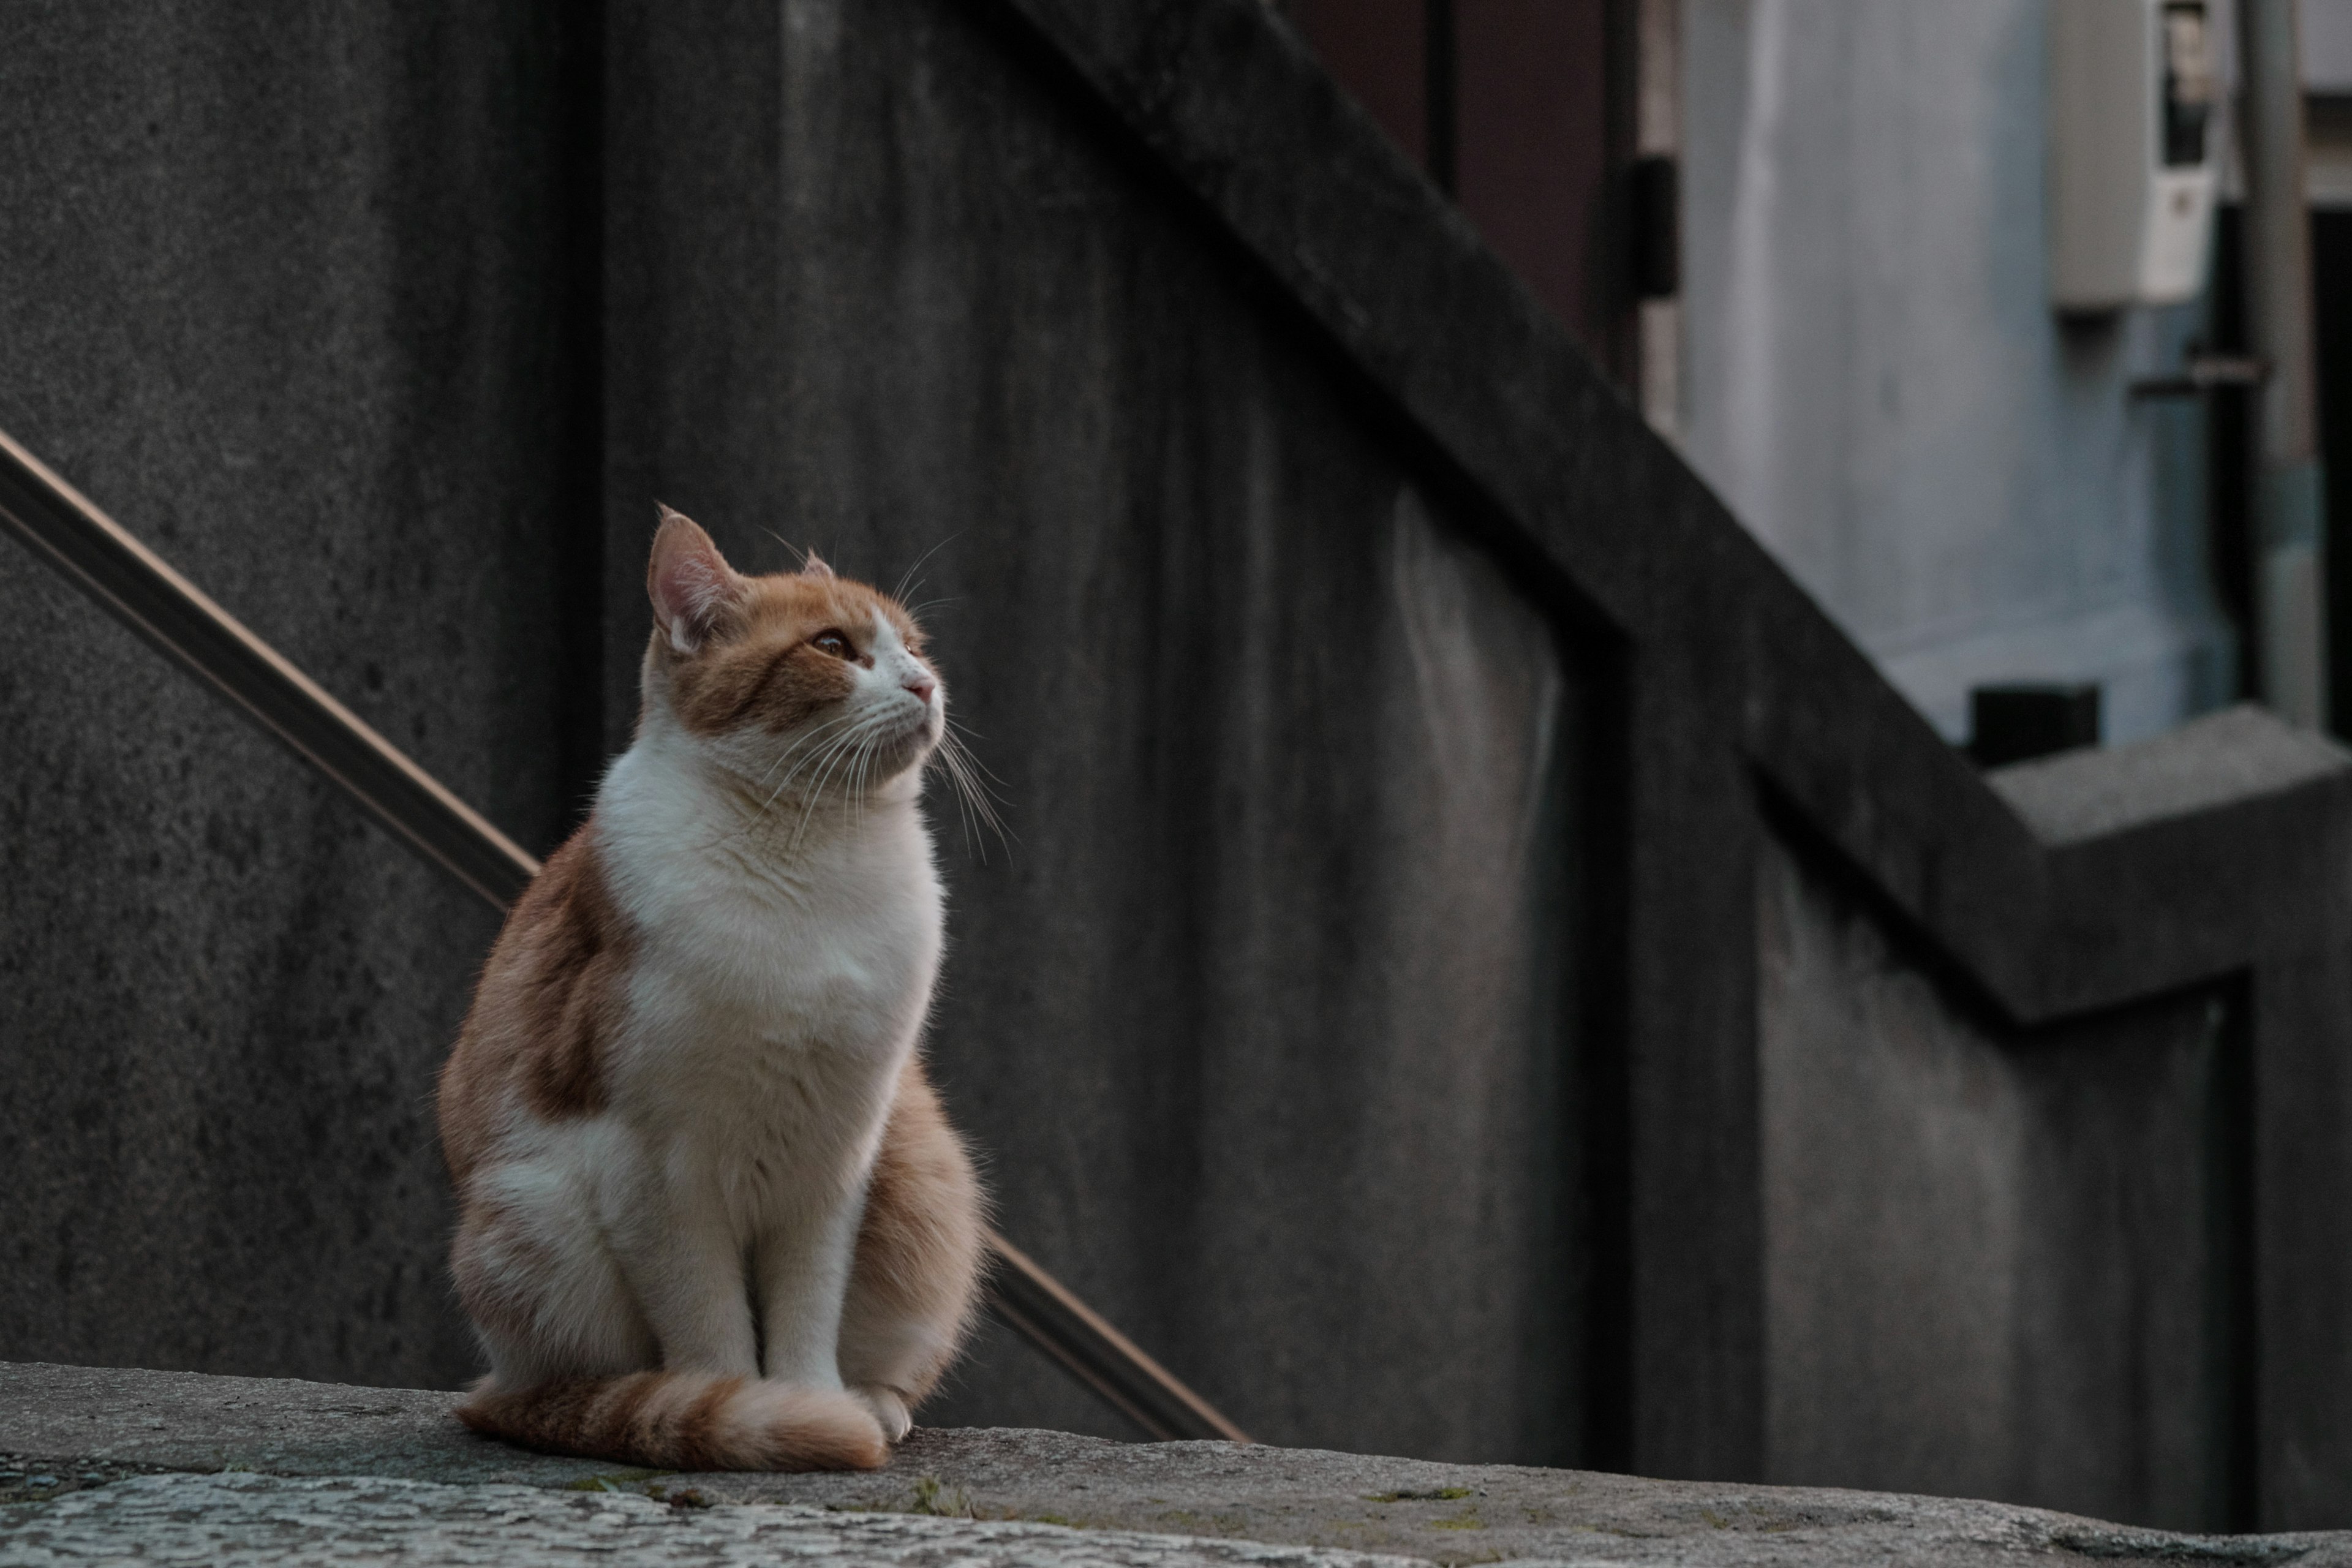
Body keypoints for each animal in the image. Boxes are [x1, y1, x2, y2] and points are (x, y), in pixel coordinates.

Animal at [440, 512, 983, 1476]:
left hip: (920, 1167)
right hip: (531, 1217)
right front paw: (744, 1412)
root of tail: (491, 1384)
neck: (811, 856)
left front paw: (812, 1401)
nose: (927, 684)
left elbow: (808, 1307)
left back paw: (873, 1404)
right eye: (834, 647)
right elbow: (709, 1327)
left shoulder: (836, 1155)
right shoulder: (652, 1168)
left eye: (915, 648)